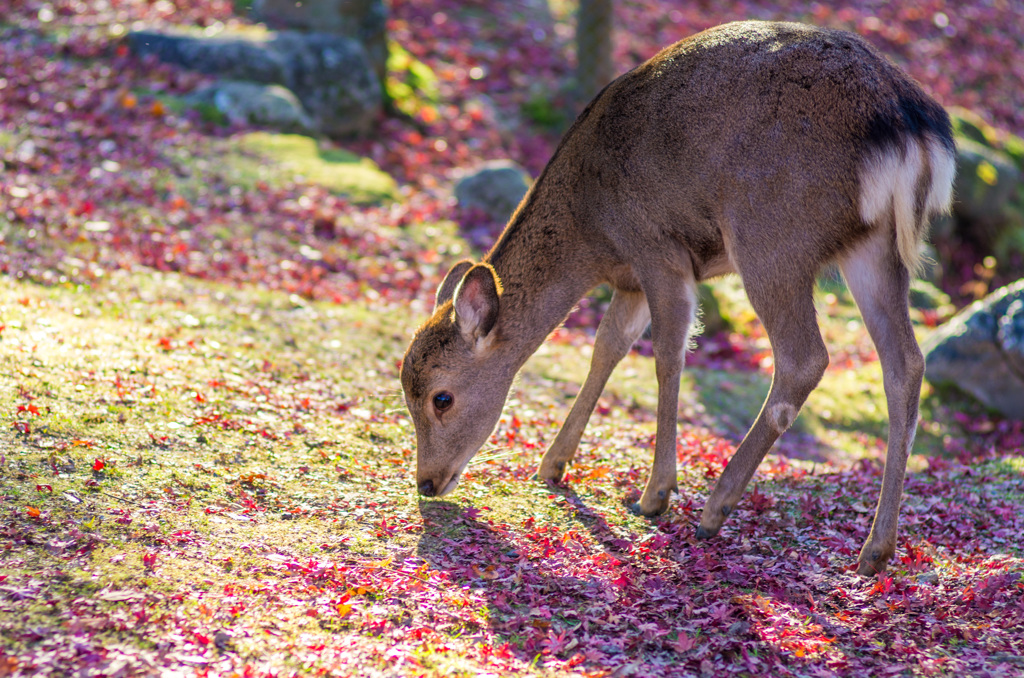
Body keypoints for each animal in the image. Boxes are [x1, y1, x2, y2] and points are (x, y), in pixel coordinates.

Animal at [397, 19, 950, 577]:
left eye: (441, 397)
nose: (427, 482)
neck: (593, 231)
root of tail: (911, 126)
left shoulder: (657, 247)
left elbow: (666, 353)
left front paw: (654, 494)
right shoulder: (630, 279)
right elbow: (606, 348)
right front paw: (553, 464)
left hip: (772, 233)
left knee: (805, 358)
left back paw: (715, 506)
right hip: (872, 247)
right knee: (905, 364)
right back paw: (876, 549)